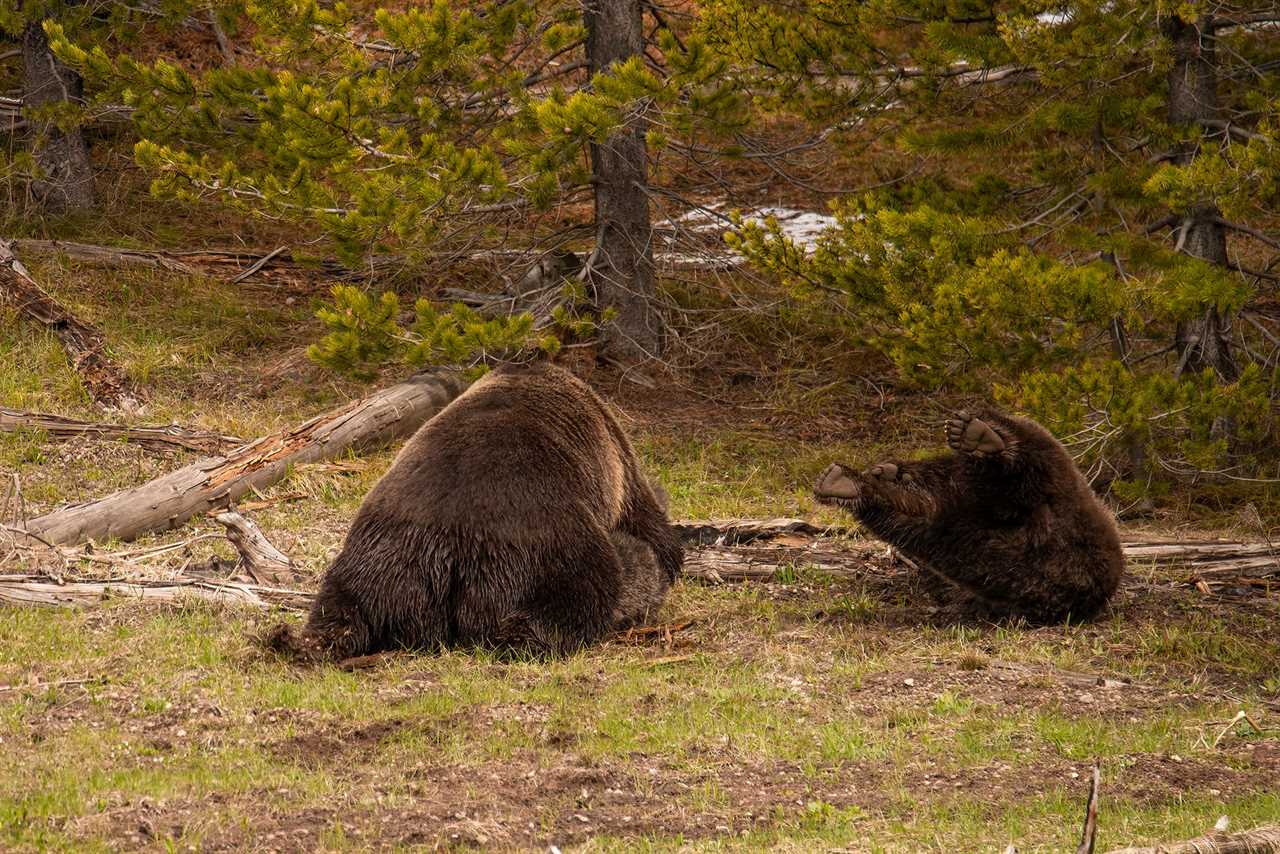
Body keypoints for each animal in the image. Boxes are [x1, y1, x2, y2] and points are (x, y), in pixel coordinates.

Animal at [275, 361, 686, 660]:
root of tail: (447, 546)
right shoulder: (617, 462)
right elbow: (648, 524)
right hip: (540, 551)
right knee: (582, 592)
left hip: (380, 559)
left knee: (341, 606)